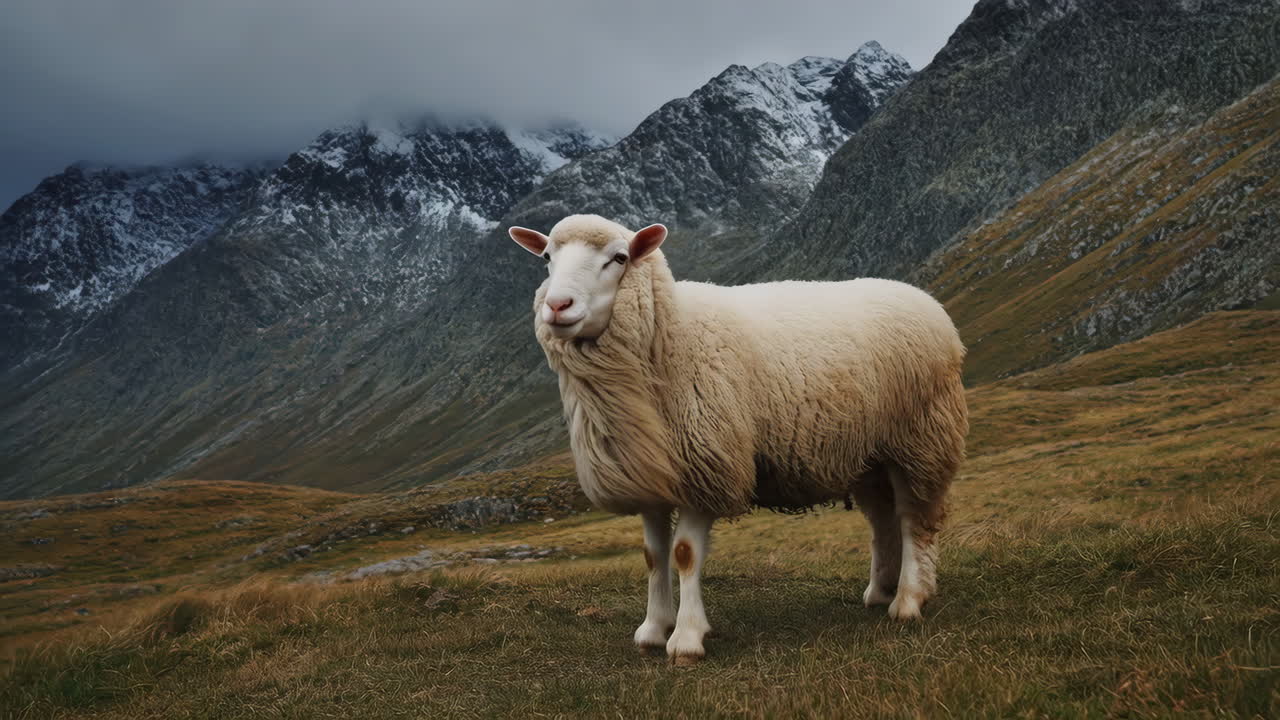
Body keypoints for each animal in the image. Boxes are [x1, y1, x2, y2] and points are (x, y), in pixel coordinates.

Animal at [508, 214, 968, 664]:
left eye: (619, 258)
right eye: (547, 257)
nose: (557, 306)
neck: (669, 335)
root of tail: (925, 300)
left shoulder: (707, 464)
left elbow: (684, 554)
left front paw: (687, 638)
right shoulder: (650, 476)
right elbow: (654, 556)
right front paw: (653, 630)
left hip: (920, 439)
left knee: (912, 519)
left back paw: (909, 600)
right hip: (868, 457)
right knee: (882, 520)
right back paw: (880, 591)